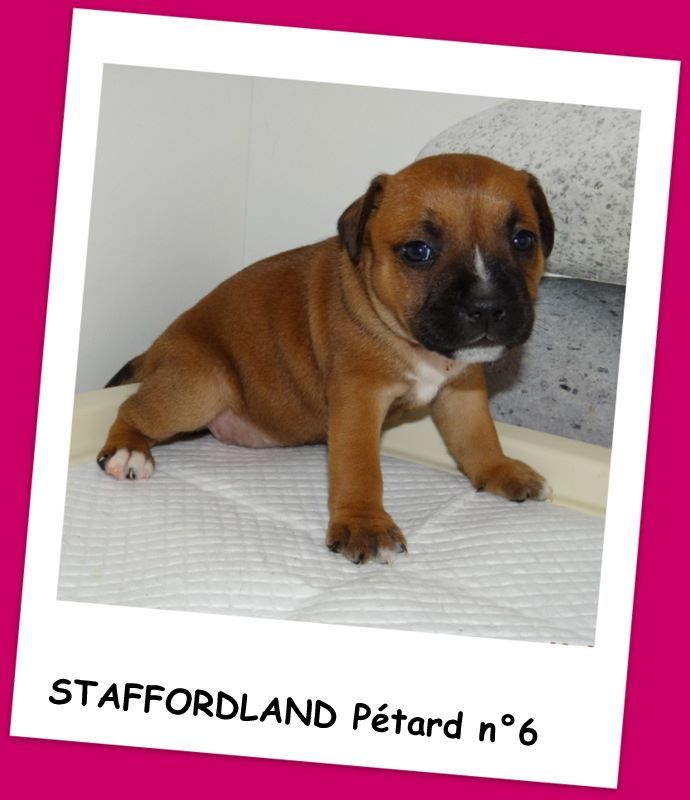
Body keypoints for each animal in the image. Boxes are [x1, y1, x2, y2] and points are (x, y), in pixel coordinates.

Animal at [98, 153, 555, 564]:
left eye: (523, 241)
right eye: (418, 251)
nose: (487, 305)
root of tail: (156, 350)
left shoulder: (462, 389)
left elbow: (478, 437)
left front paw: (501, 471)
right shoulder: (358, 398)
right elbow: (360, 467)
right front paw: (365, 524)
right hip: (200, 384)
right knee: (131, 409)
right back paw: (128, 452)